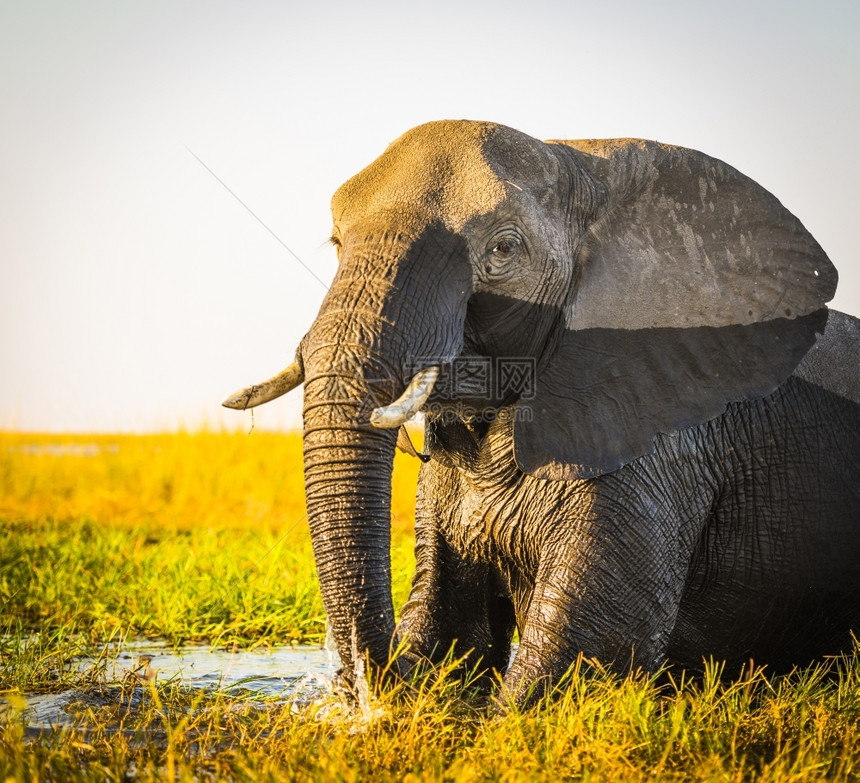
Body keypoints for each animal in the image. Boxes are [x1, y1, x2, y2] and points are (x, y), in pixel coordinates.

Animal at [223, 122, 860, 712]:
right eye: (335, 243)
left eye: (503, 251)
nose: (363, 691)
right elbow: (446, 625)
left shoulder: (664, 436)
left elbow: (588, 642)